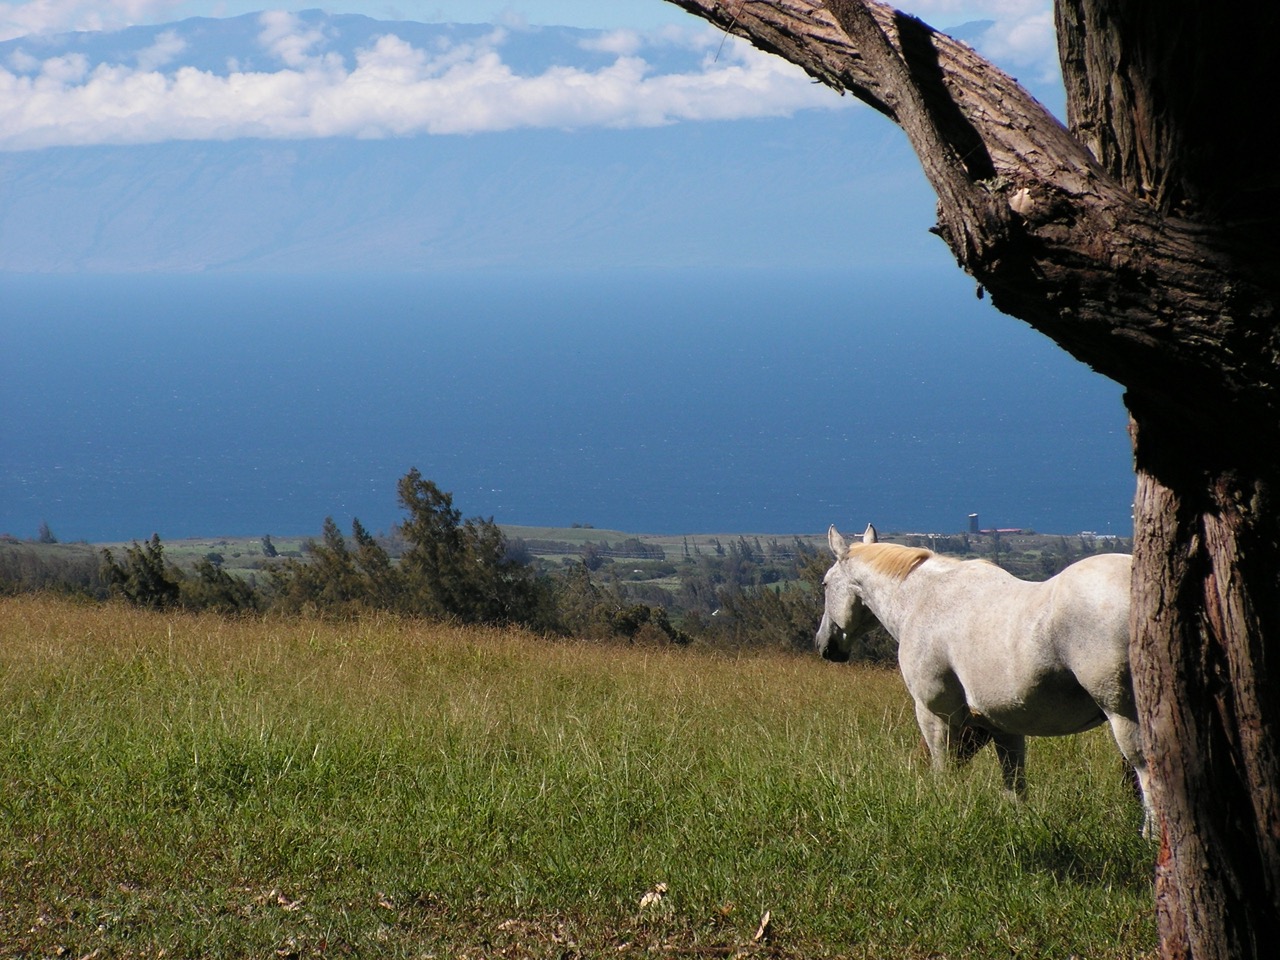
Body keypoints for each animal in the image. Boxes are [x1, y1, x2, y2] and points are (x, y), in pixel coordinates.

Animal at [819, 527, 1162, 834]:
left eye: (824, 584)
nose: (825, 645)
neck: (923, 598)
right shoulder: (1003, 726)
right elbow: (1014, 787)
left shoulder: (935, 715)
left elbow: (943, 770)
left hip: (1124, 716)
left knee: (1148, 773)